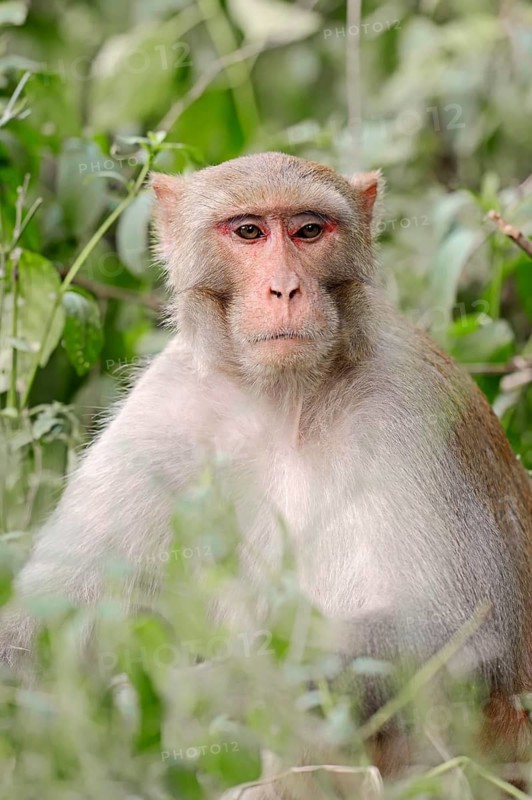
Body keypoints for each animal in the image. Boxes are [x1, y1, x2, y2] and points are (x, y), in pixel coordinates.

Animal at [0, 152, 531, 793]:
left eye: (309, 230)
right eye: (249, 231)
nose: (285, 288)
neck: (286, 399)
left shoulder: (414, 403)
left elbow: (461, 633)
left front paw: (187, 698)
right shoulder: (164, 407)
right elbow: (38, 628)